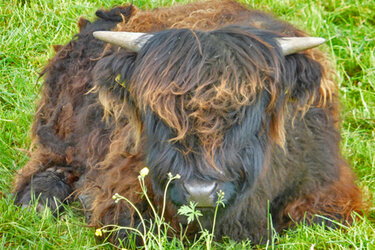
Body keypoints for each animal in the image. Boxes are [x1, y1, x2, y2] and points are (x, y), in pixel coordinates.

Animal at [13, 0, 364, 245]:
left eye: (250, 105)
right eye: (158, 112)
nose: (201, 192)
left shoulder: (329, 189)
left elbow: (320, 220)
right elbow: (135, 227)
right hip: (61, 133)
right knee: (48, 168)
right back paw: (38, 202)